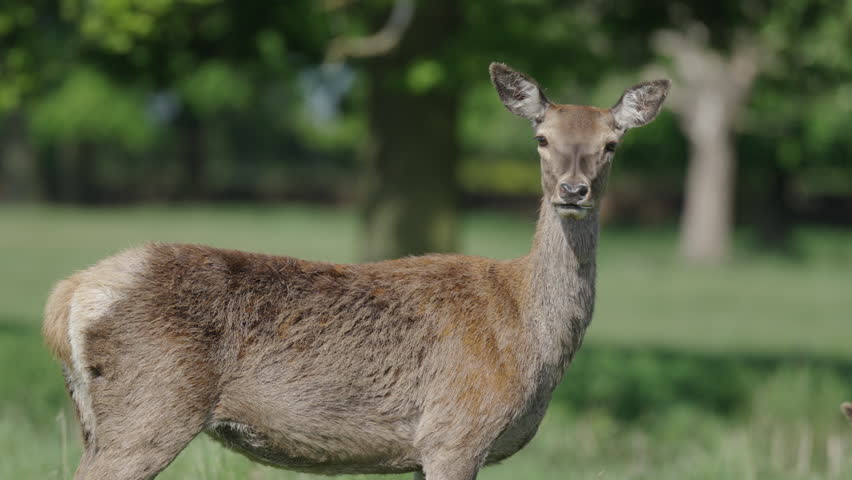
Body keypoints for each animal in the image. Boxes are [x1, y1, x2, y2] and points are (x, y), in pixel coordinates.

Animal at [43, 63, 669, 480]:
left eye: (612, 144)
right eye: (541, 138)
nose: (573, 190)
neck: (528, 336)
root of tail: (69, 295)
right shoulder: (455, 431)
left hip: (97, 419)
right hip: (152, 405)